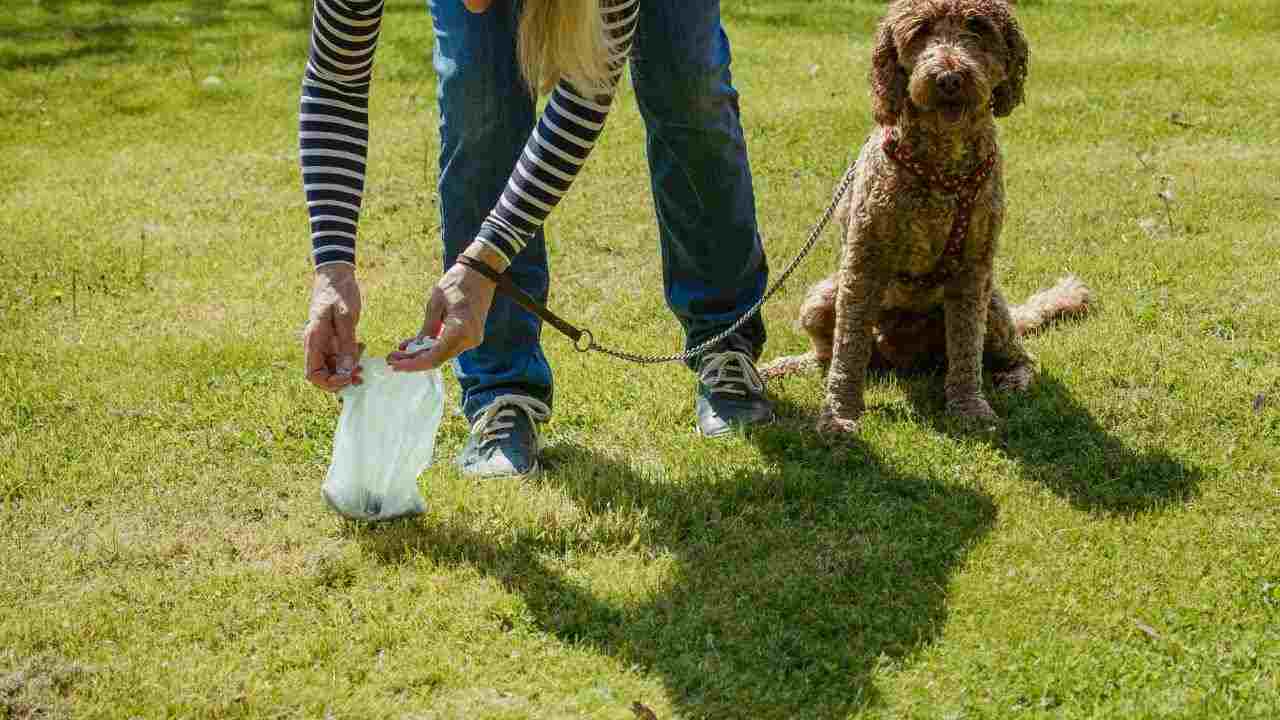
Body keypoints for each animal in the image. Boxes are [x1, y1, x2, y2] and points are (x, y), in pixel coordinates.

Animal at [757, 0, 1090, 430]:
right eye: (920, 31)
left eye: (977, 27)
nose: (948, 78)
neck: (943, 167)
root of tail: (900, 357)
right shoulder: (863, 265)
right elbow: (848, 349)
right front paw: (838, 417)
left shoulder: (973, 271)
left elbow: (965, 348)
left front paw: (969, 408)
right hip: (821, 298)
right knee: (825, 356)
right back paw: (779, 368)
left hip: (992, 307)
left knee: (1017, 355)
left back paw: (1013, 379)